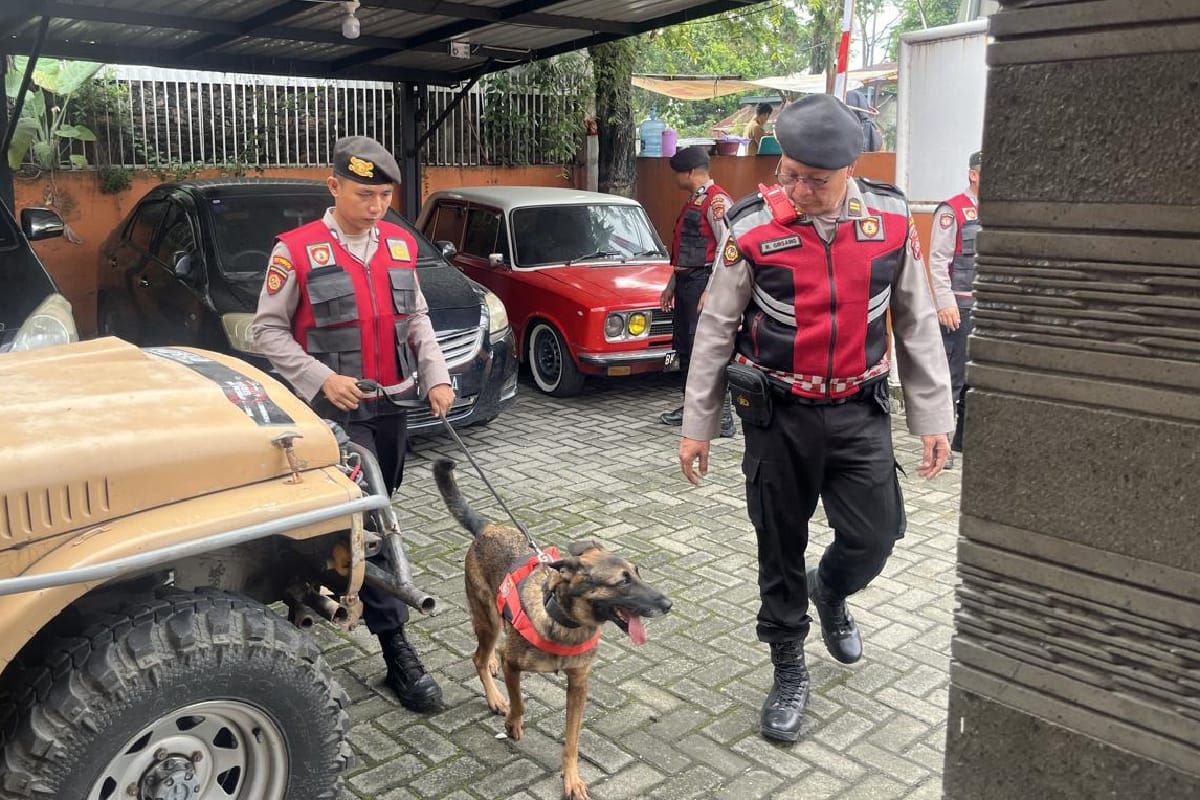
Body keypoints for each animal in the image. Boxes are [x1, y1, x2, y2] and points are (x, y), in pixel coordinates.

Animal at [434, 460, 676, 796]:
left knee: (488, 652)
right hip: (488, 620)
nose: (668, 604)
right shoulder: (513, 665)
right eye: (622, 582)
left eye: (639, 573)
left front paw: (571, 778)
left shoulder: (579, 685)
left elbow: (572, 740)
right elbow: (519, 702)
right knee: (479, 656)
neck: (565, 622)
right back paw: (495, 696)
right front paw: (513, 722)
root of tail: (488, 528)